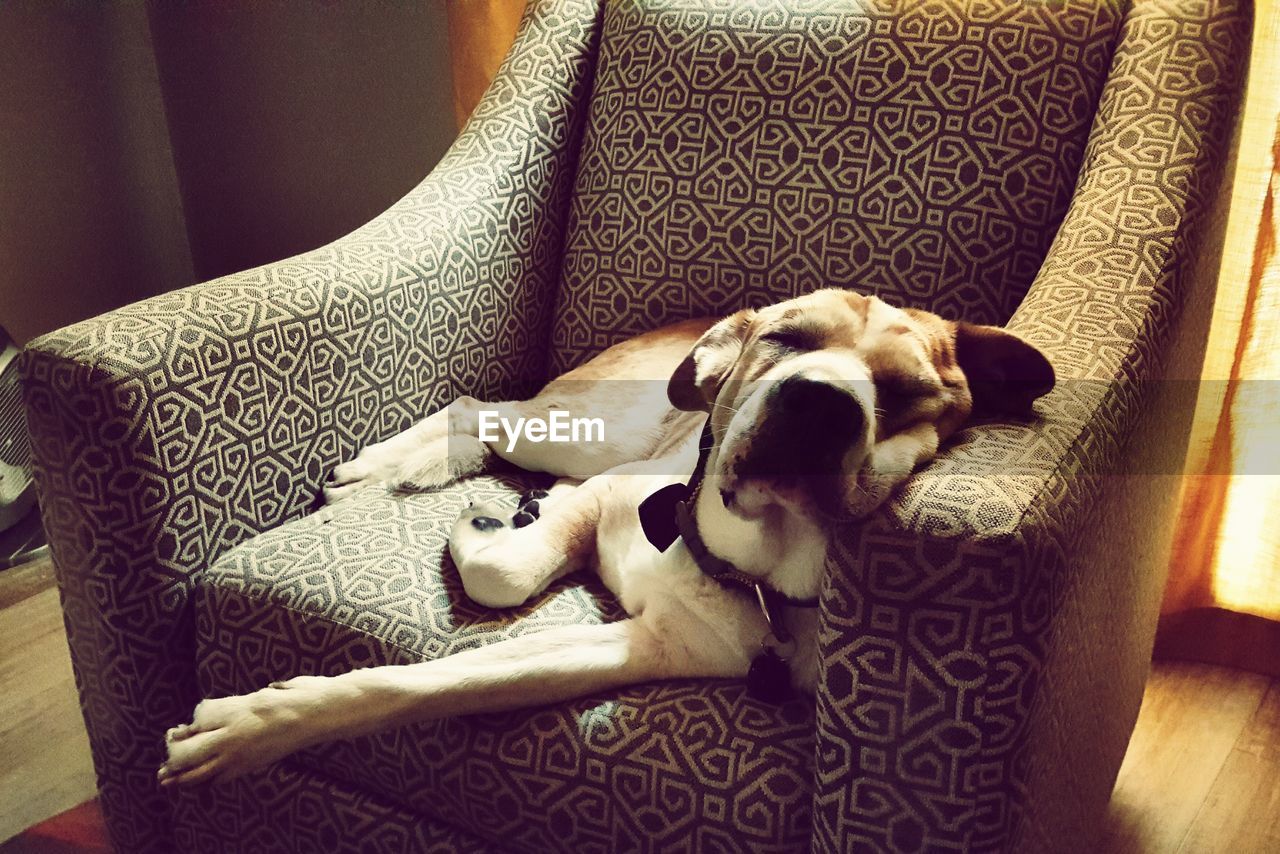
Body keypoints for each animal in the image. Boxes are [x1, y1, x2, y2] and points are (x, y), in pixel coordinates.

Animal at [154, 289, 1049, 788]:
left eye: (910, 392)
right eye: (787, 340)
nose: (818, 402)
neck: (748, 560)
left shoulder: (644, 647)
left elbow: (442, 680)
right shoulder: (606, 494)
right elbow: (498, 582)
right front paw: (250, 729)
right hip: (584, 438)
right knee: (478, 409)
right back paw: (386, 468)